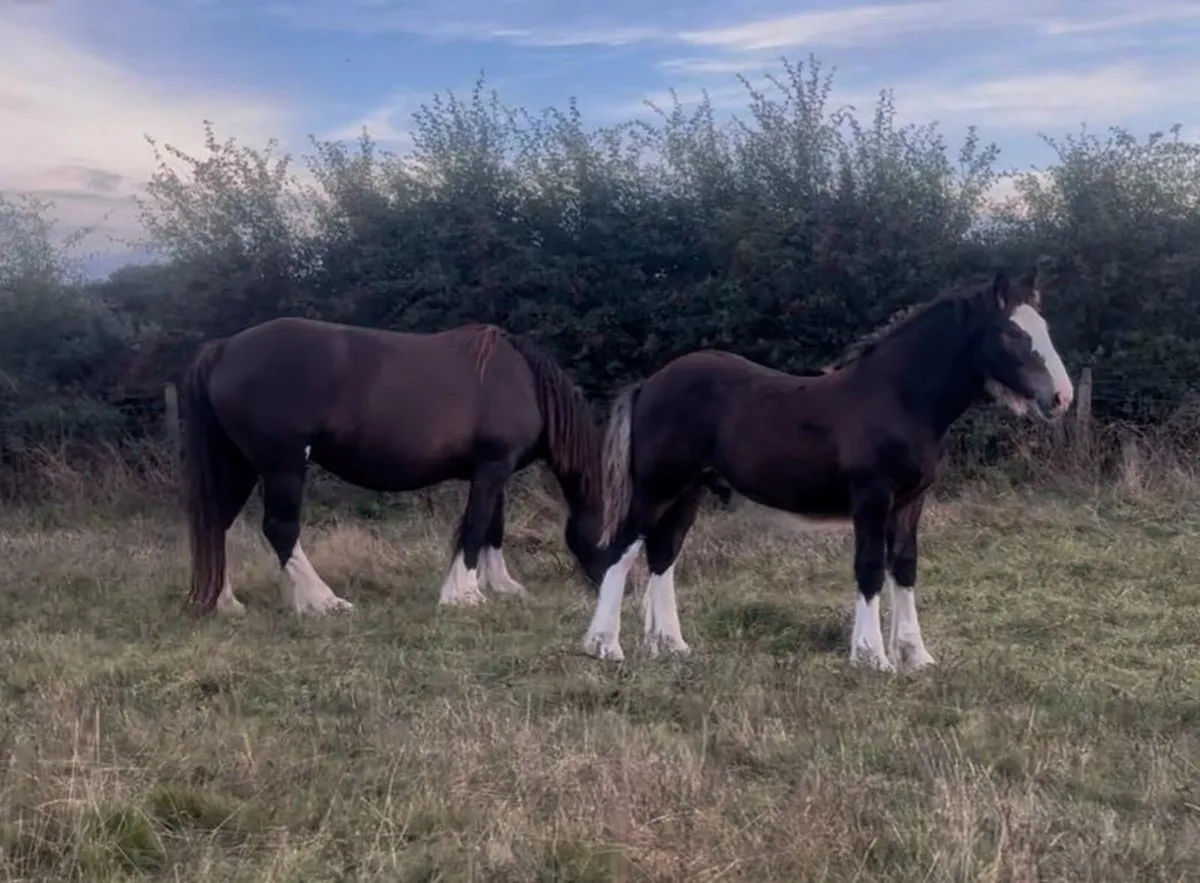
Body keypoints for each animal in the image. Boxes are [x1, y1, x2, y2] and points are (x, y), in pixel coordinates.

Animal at [180, 317, 605, 616]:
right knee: (280, 528)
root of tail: (223, 349)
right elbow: (475, 525)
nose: (608, 588)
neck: (525, 382)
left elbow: (492, 528)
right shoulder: (493, 467)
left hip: (242, 465)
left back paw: (225, 603)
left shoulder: (493, 469)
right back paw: (323, 602)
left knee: (217, 524)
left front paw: (500, 586)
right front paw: (463, 595)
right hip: (282, 465)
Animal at [583, 269, 1074, 670]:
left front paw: (916, 655)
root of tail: (650, 383)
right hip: (656, 487)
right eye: (1011, 333)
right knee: (623, 550)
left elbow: (905, 566)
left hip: (689, 491)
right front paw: (872, 656)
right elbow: (869, 566)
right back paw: (605, 645)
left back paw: (671, 645)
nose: (1061, 397)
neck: (899, 398)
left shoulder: (910, 503)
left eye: (1045, 329)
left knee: (663, 553)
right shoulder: (872, 497)